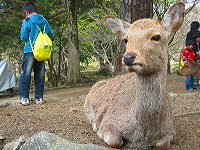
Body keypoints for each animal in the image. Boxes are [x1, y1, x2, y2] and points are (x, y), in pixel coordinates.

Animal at [83, 1, 185, 149]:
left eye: (156, 37)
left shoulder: (171, 130)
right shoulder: (109, 120)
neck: (143, 135)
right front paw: (99, 130)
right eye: (126, 39)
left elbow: (162, 144)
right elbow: (115, 141)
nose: (128, 57)